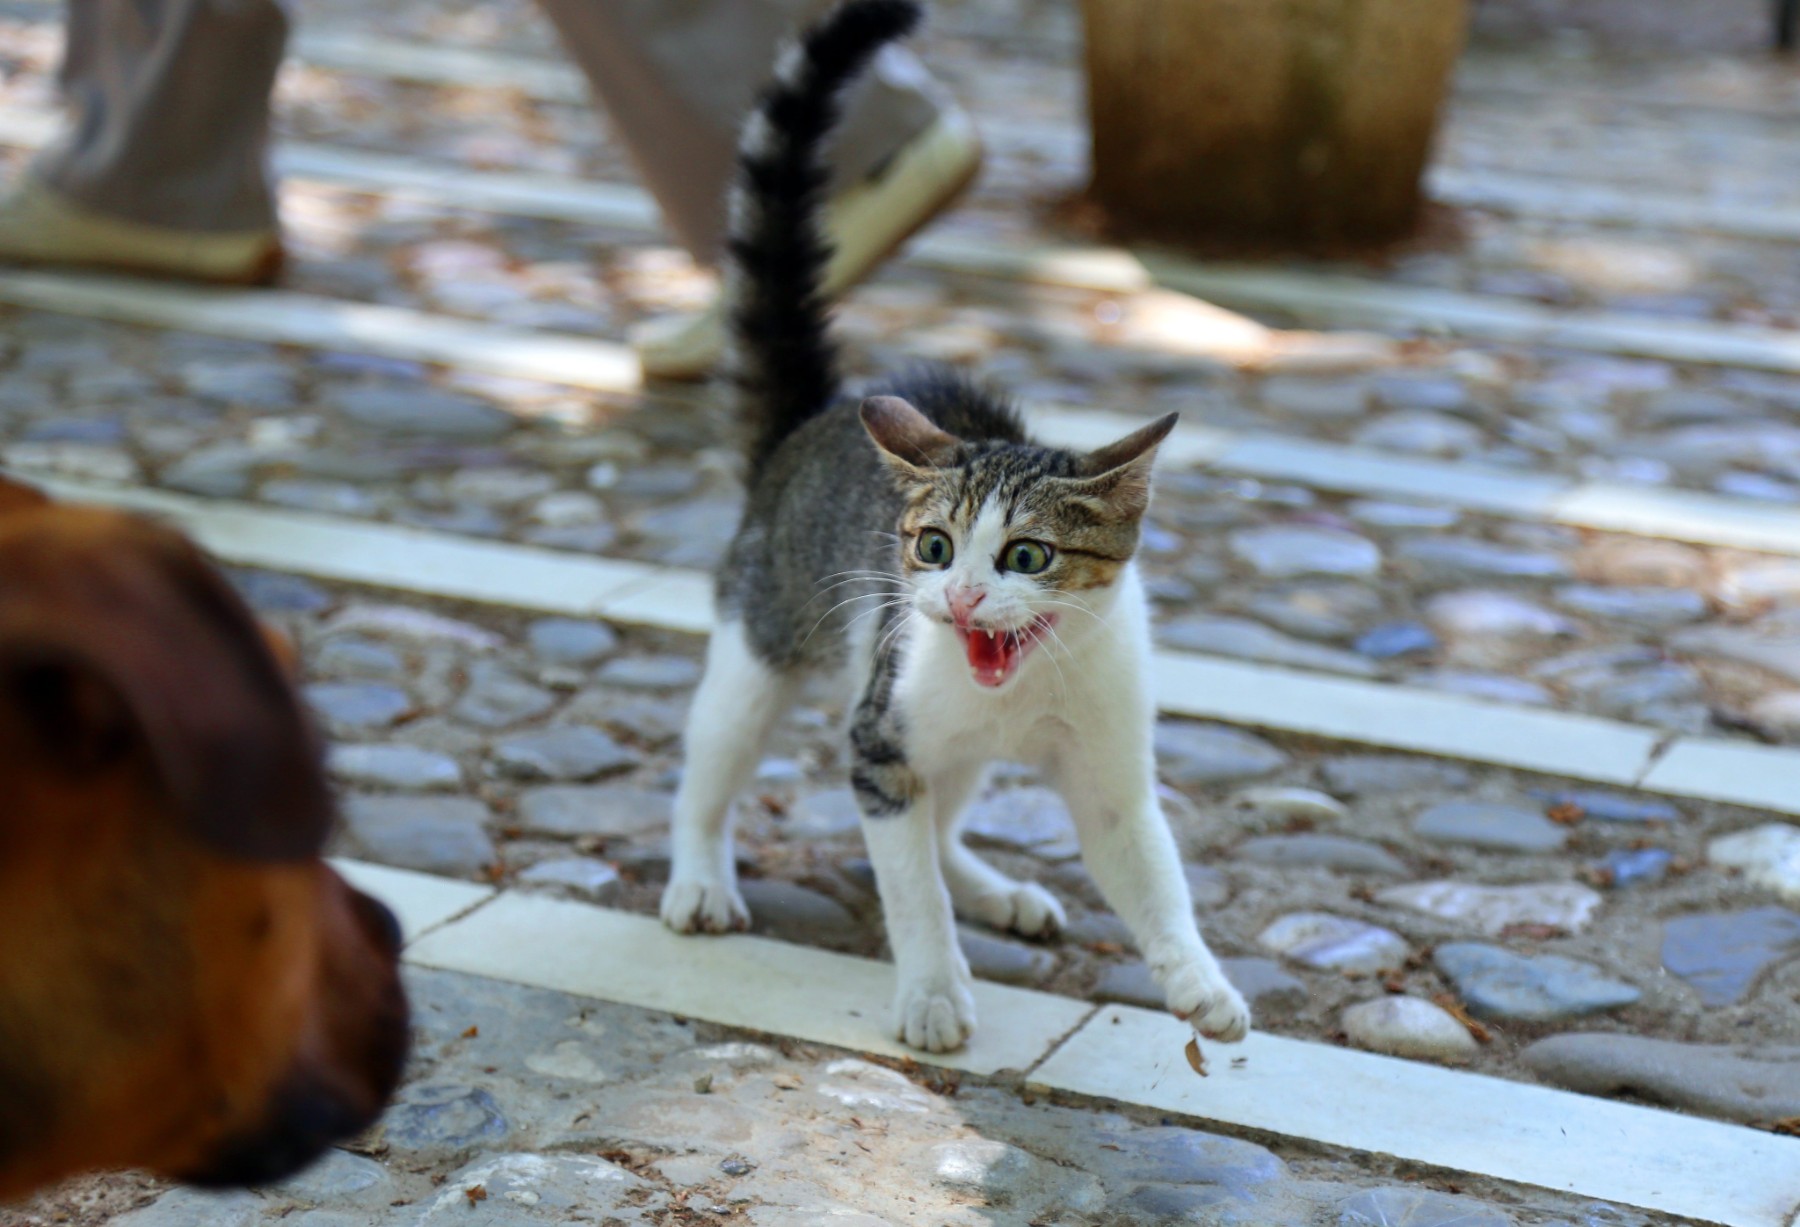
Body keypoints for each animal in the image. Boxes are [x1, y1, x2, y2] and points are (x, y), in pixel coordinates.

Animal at [662, 0, 1252, 1050]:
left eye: (1027, 554)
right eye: (933, 546)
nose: (966, 594)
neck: (1018, 693)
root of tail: (808, 422)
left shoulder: (1110, 769)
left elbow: (1150, 873)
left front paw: (1198, 979)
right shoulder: (879, 740)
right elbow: (906, 882)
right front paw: (934, 989)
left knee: (943, 819)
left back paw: (993, 889)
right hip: (759, 645)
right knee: (713, 763)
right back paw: (699, 878)